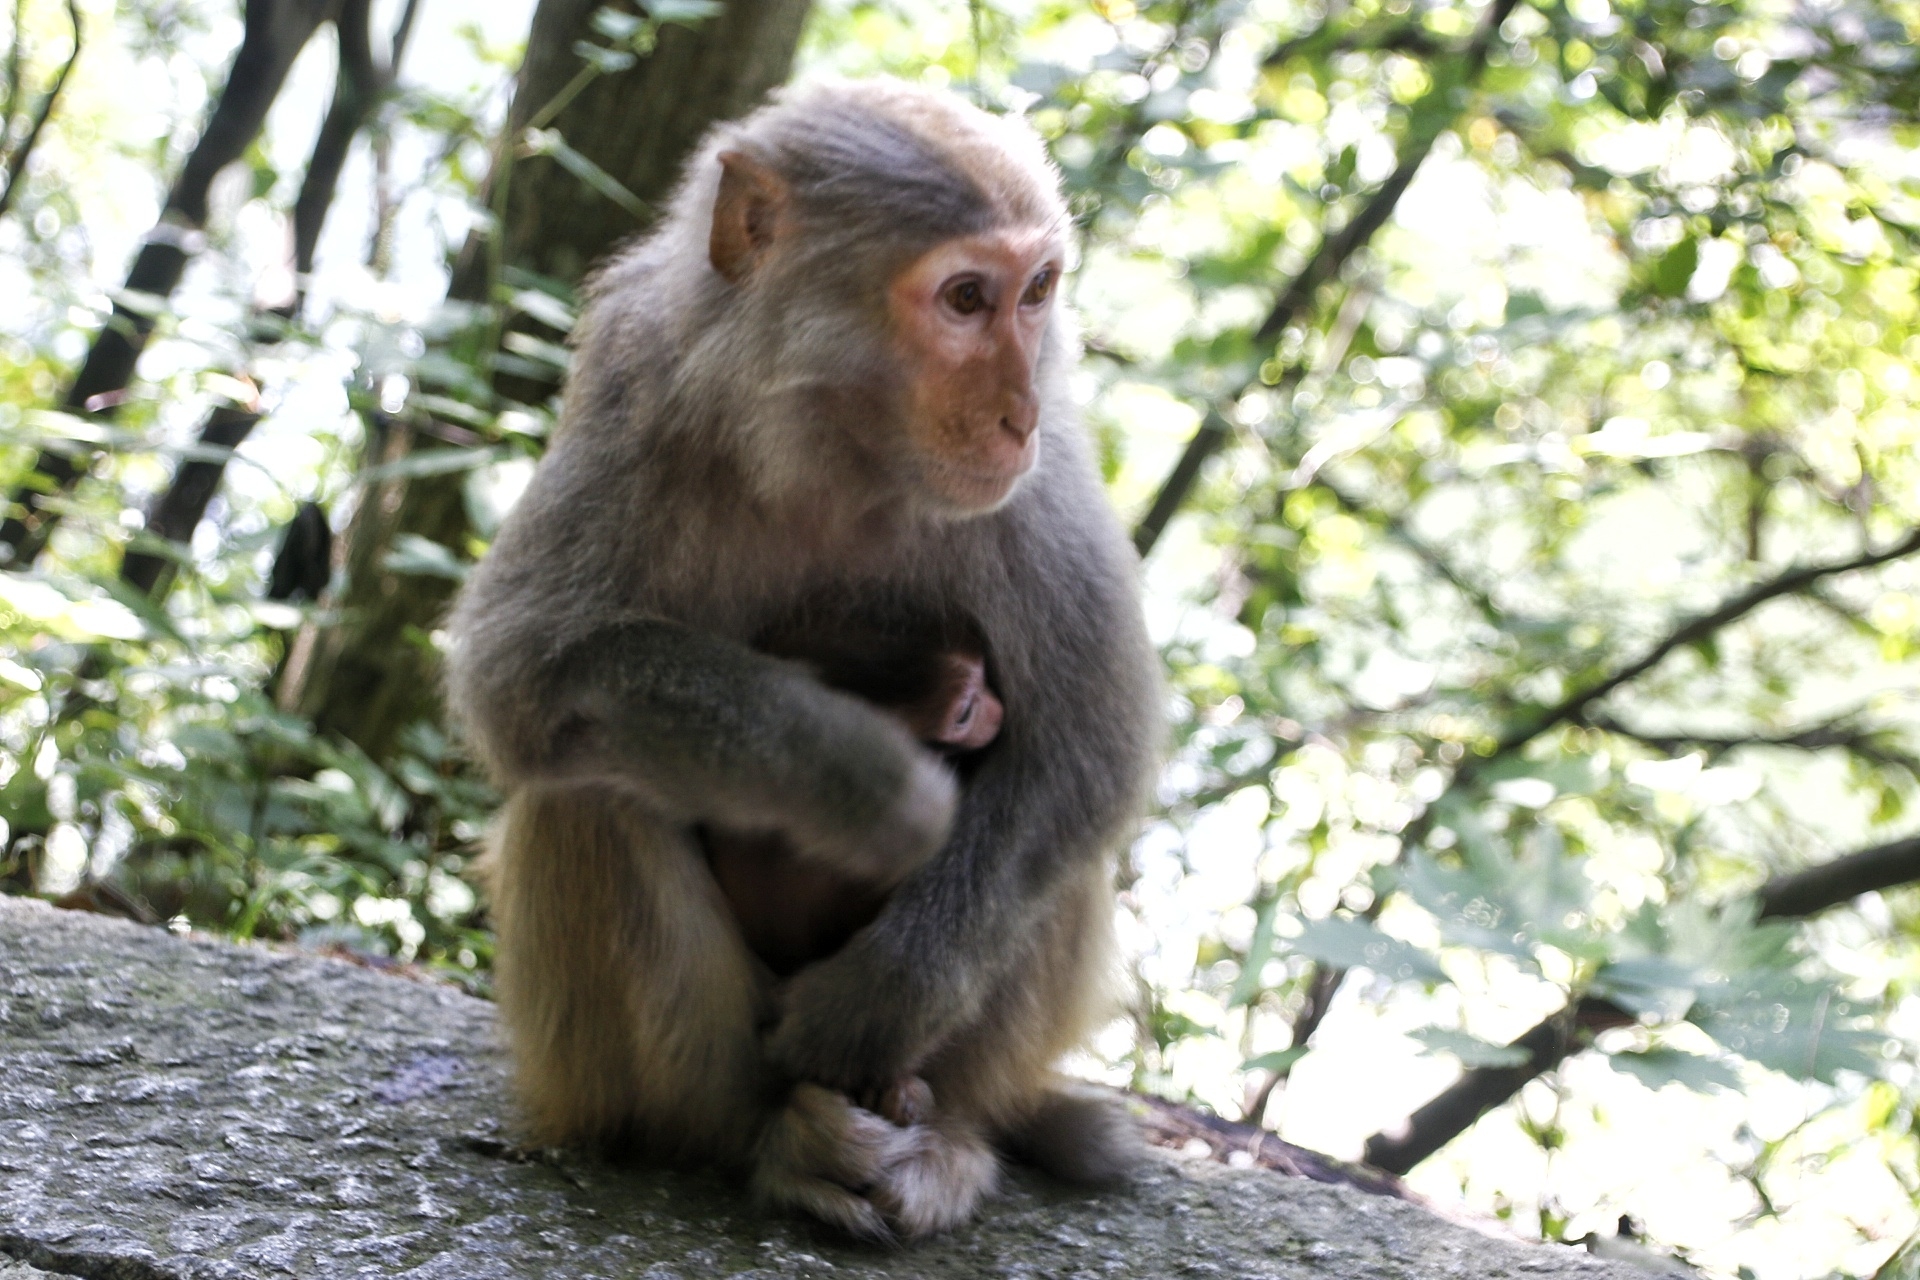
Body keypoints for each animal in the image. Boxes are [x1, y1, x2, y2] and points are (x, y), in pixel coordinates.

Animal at [449, 80, 1159, 1243]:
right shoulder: (636, 386)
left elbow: (1092, 739)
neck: (838, 438)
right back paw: (766, 1140)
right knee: (587, 785)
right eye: (966, 297)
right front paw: (860, 780)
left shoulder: (1040, 479)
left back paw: (944, 1130)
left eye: (1038, 292)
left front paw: (885, 993)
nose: (1020, 411)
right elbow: (523, 671)